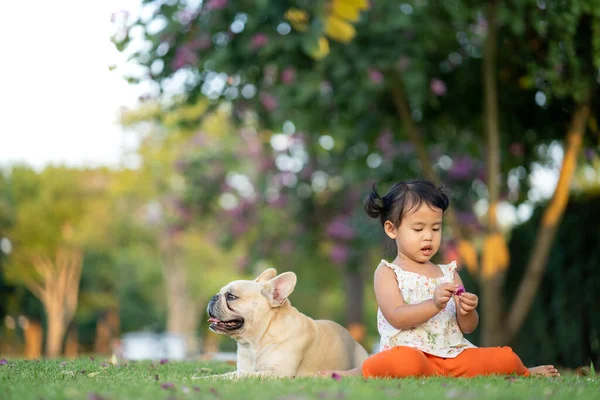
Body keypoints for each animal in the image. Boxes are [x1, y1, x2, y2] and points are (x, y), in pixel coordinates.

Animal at [204, 268, 368, 378]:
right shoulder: (242, 369)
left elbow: (243, 376)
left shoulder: (278, 373)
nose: (213, 297)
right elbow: (224, 376)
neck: (255, 342)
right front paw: (202, 378)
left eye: (231, 296)